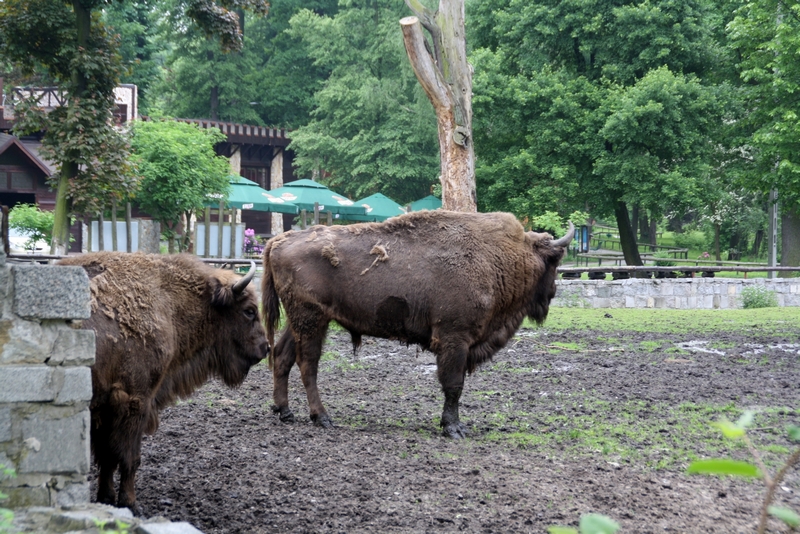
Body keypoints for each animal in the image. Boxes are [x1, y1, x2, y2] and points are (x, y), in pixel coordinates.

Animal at [58, 252, 269, 510]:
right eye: (249, 311)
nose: (265, 348)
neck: (168, 302)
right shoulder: (136, 400)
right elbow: (129, 457)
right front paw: (129, 503)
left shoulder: (104, 408)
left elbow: (107, 457)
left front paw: (106, 499)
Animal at [261, 210, 573, 438]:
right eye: (555, 261)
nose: (552, 293)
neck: (499, 256)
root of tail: (278, 241)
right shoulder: (454, 339)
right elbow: (453, 385)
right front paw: (453, 428)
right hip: (311, 319)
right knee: (308, 364)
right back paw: (322, 417)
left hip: (300, 321)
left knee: (282, 356)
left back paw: (284, 412)